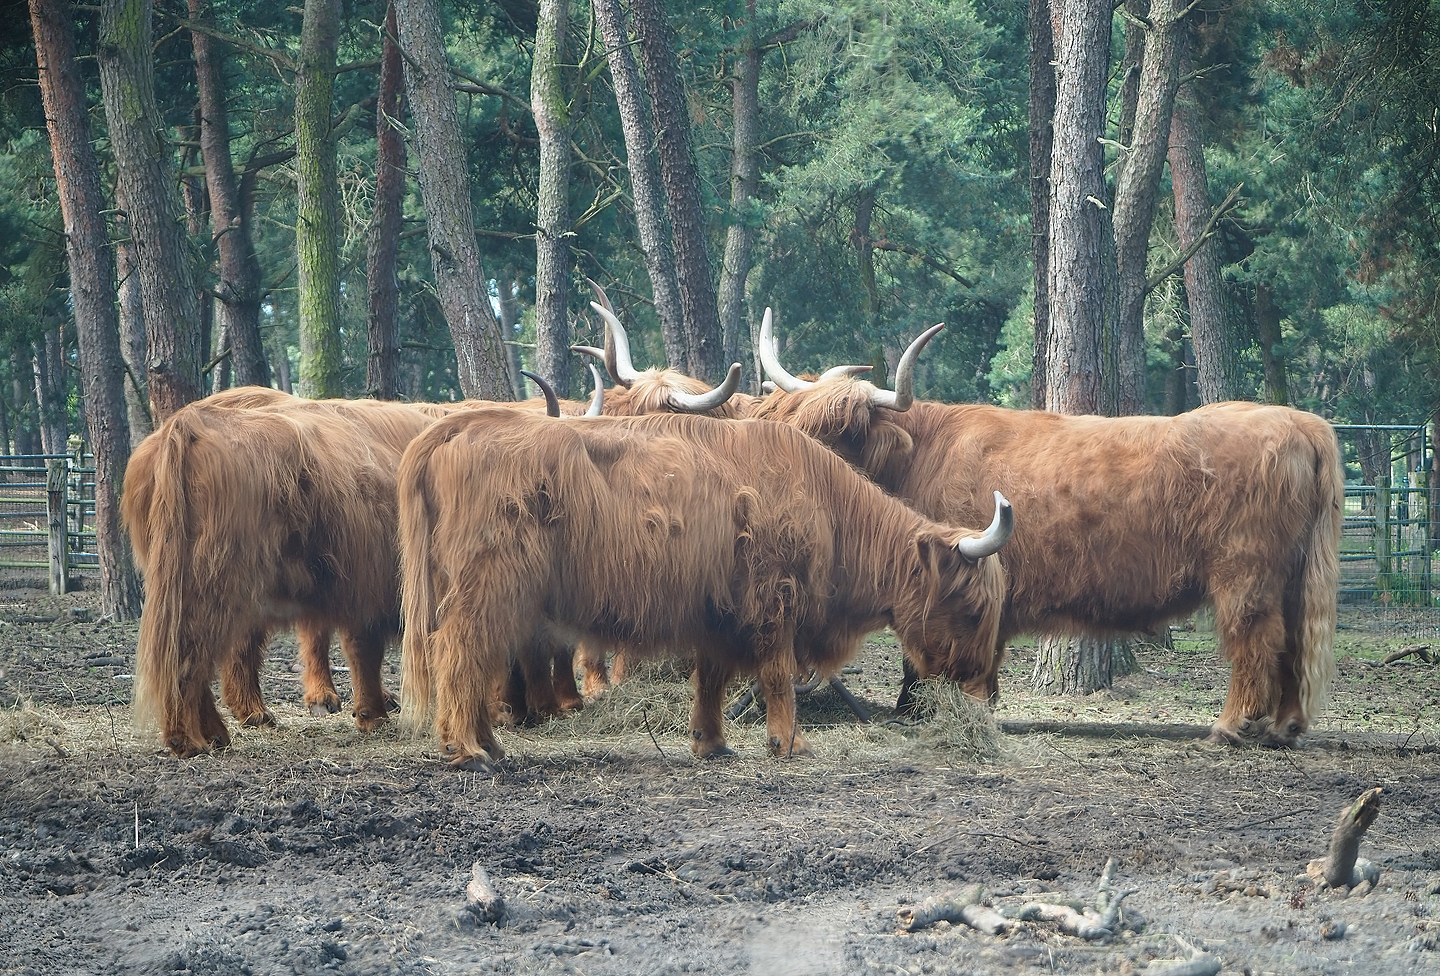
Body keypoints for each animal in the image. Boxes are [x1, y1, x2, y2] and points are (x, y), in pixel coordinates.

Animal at [396, 407, 1013, 768]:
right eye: (971, 605)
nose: (976, 681)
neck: (829, 508)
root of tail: (463, 425)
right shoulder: (773, 602)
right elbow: (777, 676)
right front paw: (790, 743)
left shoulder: (720, 614)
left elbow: (711, 679)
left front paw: (711, 743)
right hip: (488, 591)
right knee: (461, 654)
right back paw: (467, 750)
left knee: (473, 660)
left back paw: (490, 745)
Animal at [755, 315, 1344, 747]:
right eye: (792, 417)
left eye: (842, 433)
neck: (919, 457)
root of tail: (1301, 422)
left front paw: (935, 708)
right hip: (1295, 573)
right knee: (1296, 639)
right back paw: (1285, 726)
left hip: (1245, 571)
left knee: (1256, 637)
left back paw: (1232, 726)